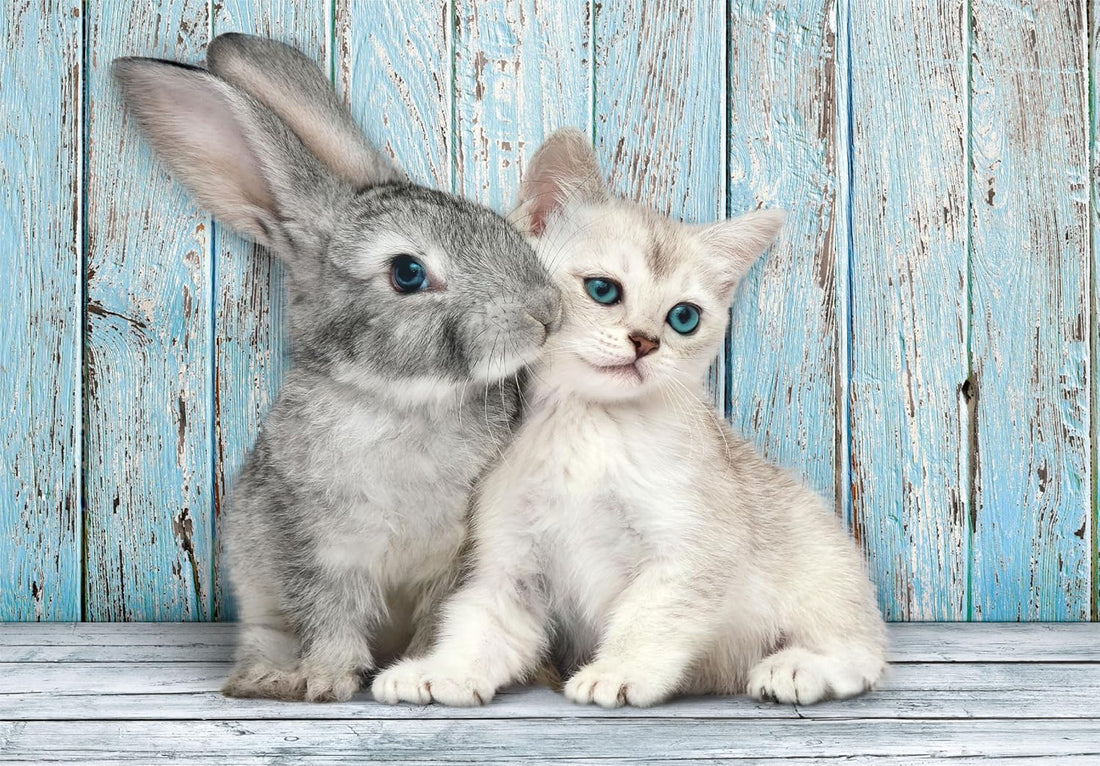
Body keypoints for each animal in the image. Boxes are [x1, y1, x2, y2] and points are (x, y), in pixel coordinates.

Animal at [113, 33, 560, 702]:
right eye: (407, 273)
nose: (546, 312)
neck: (400, 402)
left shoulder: (455, 559)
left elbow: (437, 619)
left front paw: (418, 673)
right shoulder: (313, 547)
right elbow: (329, 617)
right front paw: (326, 682)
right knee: (264, 635)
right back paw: (262, 678)